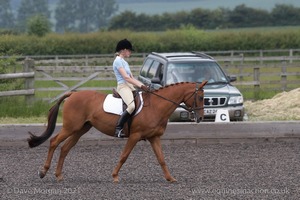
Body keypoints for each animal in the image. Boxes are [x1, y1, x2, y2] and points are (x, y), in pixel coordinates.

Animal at [27, 81, 206, 183]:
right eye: (200, 97)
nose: (201, 117)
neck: (156, 106)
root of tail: (73, 94)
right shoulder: (135, 136)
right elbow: (124, 156)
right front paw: (114, 176)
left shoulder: (154, 137)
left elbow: (161, 159)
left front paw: (170, 178)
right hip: (70, 127)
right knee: (54, 142)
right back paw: (43, 171)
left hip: (81, 129)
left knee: (65, 148)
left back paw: (58, 175)